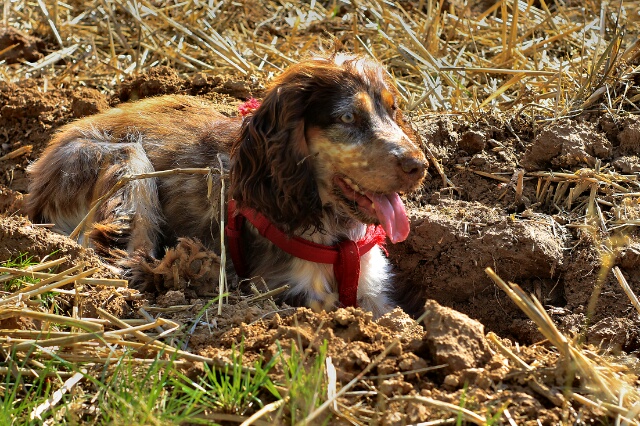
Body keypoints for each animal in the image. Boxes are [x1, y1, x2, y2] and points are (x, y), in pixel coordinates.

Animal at [27, 54, 428, 316]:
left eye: (392, 110)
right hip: (128, 161)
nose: (420, 166)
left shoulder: (373, 286)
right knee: (118, 255)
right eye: (347, 117)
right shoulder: (290, 289)